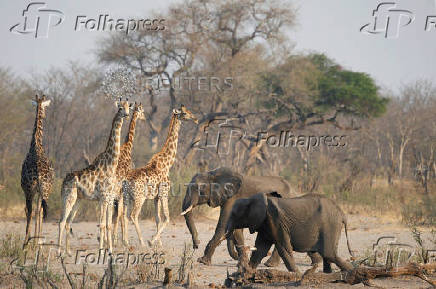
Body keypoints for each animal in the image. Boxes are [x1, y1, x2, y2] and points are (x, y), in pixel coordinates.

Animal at [58, 100, 132, 253]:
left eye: (129, 107)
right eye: (120, 108)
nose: (126, 115)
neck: (110, 165)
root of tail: (64, 181)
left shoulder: (108, 198)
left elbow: (108, 224)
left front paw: (110, 250)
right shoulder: (103, 197)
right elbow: (103, 224)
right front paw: (102, 250)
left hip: (78, 200)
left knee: (68, 222)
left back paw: (68, 251)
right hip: (68, 197)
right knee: (61, 222)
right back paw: (58, 251)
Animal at [122, 104, 198, 246]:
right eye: (184, 113)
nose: (195, 119)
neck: (167, 164)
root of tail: (126, 181)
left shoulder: (156, 197)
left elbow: (157, 218)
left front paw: (159, 243)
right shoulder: (164, 193)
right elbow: (167, 218)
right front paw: (152, 241)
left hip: (126, 197)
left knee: (124, 215)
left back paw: (126, 242)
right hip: (139, 198)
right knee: (133, 215)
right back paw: (141, 242)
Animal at [225, 192, 354, 274]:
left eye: (234, 215)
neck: (252, 199)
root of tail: (342, 214)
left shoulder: (275, 220)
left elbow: (283, 248)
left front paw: (297, 274)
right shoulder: (265, 223)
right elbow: (260, 249)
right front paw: (248, 272)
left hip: (330, 226)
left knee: (329, 254)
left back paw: (352, 271)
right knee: (328, 256)